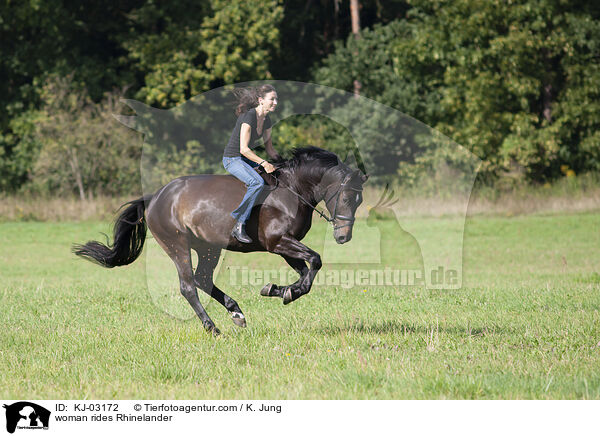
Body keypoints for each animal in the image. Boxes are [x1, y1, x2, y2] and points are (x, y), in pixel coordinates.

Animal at [72, 146, 368, 334]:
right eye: (345, 197)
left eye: (359, 200)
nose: (343, 236)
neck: (293, 190)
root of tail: (155, 196)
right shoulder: (278, 242)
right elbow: (315, 260)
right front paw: (282, 291)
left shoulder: (284, 246)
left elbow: (306, 272)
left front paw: (281, 291)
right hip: (177, 245)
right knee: (188, 286)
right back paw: (212, 328)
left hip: (208, 248)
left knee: (202, 279)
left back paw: (236, 312)